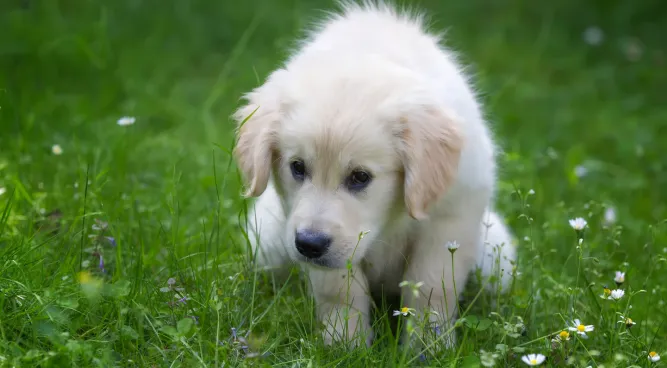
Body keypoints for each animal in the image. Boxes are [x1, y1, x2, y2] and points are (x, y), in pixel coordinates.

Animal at [232, 1, 520, 350]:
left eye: (360, 177)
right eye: (297, 167)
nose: (309, 245)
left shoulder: (449, 220)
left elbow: (432, 289)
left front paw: (429, 347)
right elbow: (340, 292)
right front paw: (345, 345)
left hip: (497, 256)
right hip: (268, 242)